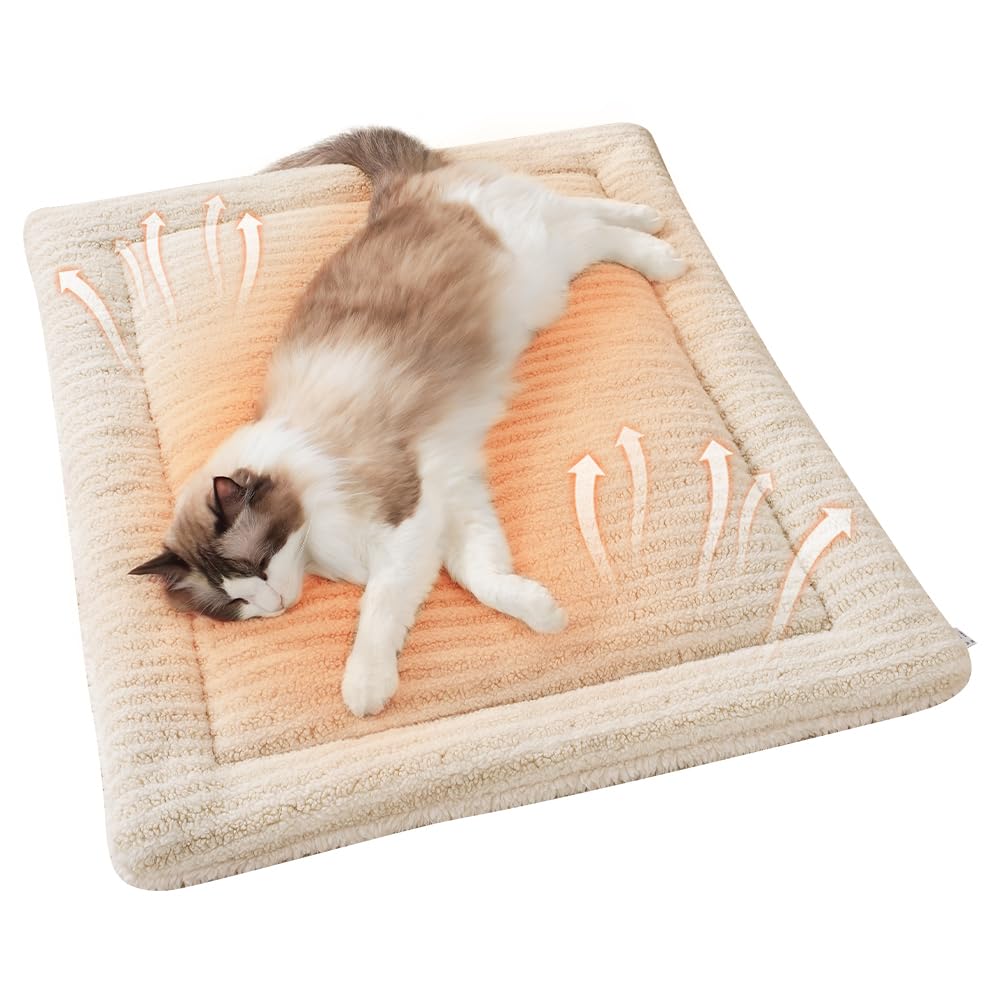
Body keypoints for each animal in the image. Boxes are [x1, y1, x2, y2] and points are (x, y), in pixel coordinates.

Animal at [131, 126, 685, 717]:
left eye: (257, 567)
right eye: (233, 602)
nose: (274, 605)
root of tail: (398, 191)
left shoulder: (406, 520)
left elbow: (379, 612)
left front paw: (365, 687)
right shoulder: (449, 500)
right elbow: (484, 578)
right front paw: (541, 613)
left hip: (539, 259)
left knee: (589, 219)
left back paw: (659, 245)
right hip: (545, 272)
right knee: (580, 213)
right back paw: (650, 219)